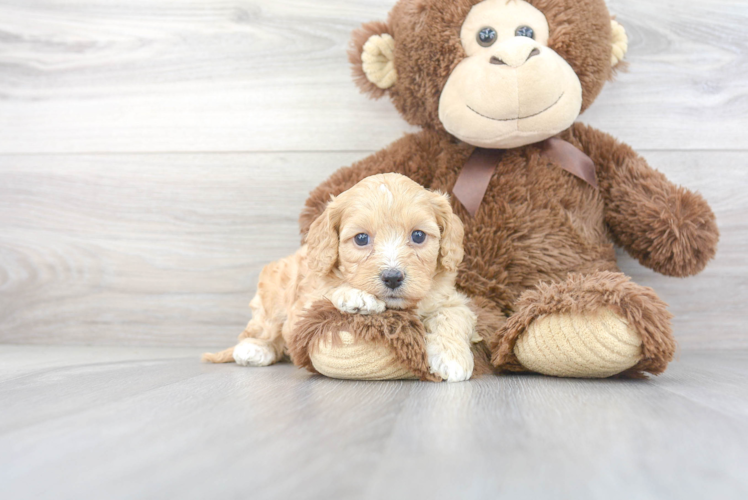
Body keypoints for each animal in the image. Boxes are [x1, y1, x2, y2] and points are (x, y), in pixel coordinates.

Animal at [203, 174, 480, 380]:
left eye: (419, 236)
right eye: (361, 238)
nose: (392, 277)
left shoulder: (449, 297)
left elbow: (454, 315)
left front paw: (451, 357)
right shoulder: (302, 304)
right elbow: (326, 292)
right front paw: (356, 296)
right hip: (273, 295)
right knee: (262, 331)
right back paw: (253, 349)